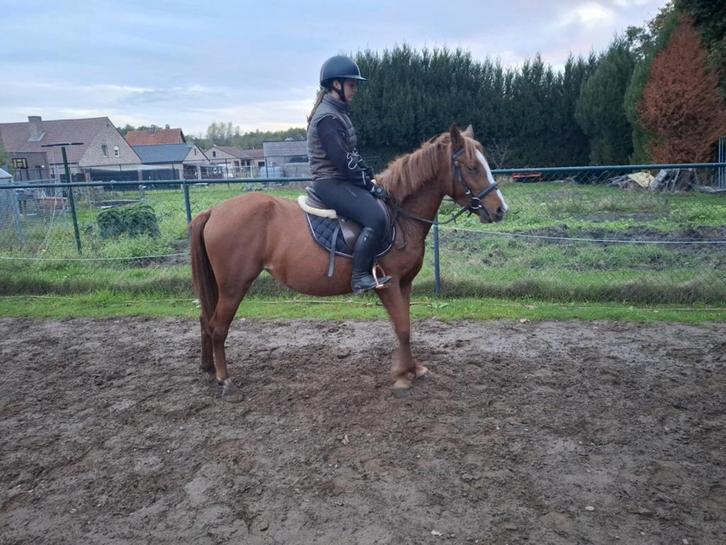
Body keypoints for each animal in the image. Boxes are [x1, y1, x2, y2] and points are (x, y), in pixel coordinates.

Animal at [190, 124, 508, 400]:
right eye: (471, 167)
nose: (500, 209)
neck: (399, 216)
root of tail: (213, 211)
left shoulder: (404, 284)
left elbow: (405, 326)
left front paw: (412, 369)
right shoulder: (387, 284)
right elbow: (402, 327)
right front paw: (402, 376)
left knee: (205, 319)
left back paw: (209, 369)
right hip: (234, 286)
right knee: (218, 326)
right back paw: (225, 380)